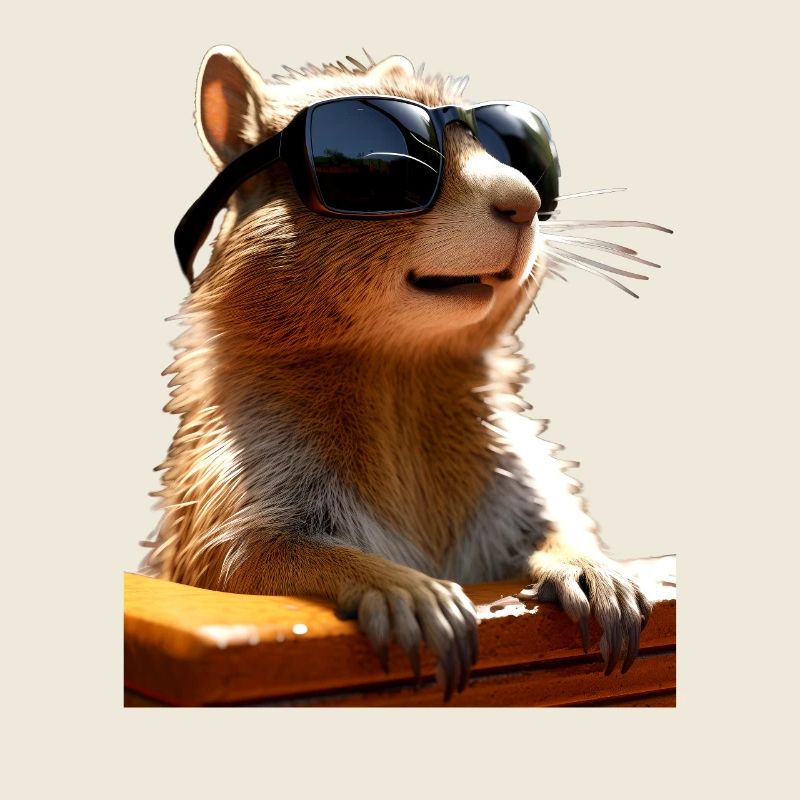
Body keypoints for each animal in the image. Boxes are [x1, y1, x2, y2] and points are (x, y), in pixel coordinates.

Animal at [142, 45, 655, 700]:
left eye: (522, 152)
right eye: (379, 165)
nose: (526, 200)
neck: (399, 370)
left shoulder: (521, 477)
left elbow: (554, 521)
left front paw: (594, 568)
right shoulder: (233, 481)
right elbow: (248, 558)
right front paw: (407, 590)